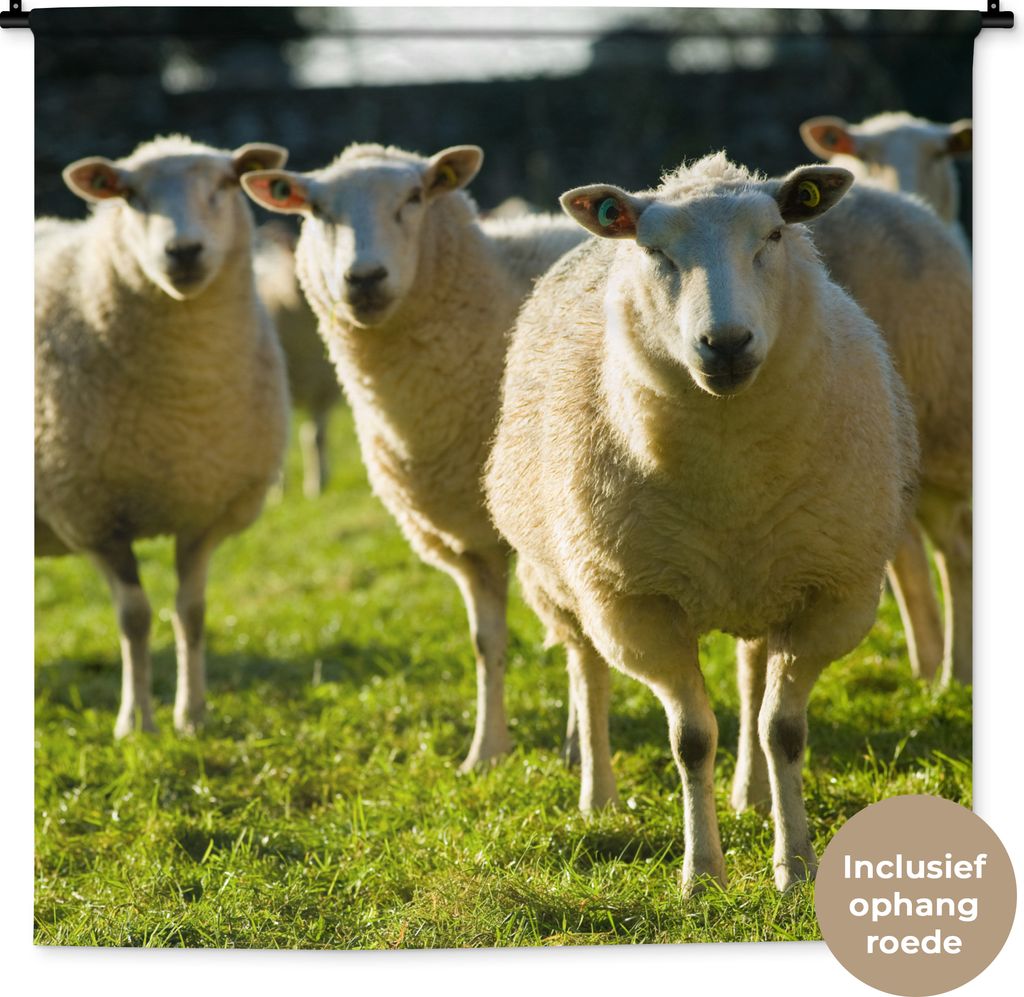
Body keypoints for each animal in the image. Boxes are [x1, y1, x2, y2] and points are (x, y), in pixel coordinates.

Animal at [35, 135, 290, 738]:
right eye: (129, 195)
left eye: (224, 183)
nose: (184, 251)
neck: (182, 406)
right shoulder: (93, 517)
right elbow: (135, 617)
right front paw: (136, 722)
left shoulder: (204, 510)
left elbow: (190, 612)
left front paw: (192, 715)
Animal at [485, 154, 918, 892]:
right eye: (655, 251)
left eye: (774, 234)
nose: (727, 343)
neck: (729, 476)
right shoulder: (639, 605)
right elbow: (690, 738)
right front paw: (702, 873)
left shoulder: (830, 594)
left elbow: (782, 731)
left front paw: (795, 865)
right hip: (567, 580)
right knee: (588, 672)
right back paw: (598, 796)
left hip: (766, 580)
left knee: (750, 678)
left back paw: (754, 794)